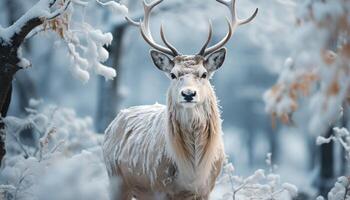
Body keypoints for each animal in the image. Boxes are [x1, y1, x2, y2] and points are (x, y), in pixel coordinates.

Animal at [102, 0, 258, 199]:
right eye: (173, 74)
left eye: (204, 74)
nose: (188, 94)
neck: (191, 176)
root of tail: (113, 123)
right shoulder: (159, 187)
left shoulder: (206, 189)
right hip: (115, 178)